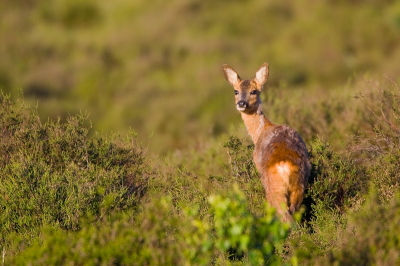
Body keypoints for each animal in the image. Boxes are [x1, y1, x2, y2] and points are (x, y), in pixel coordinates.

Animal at [223, 62, 310, 222]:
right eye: (236, 91)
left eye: (253, 91)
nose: (241, 103)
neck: (260, 132)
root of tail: (284, 165)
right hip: (299, 185)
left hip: (274, 189)